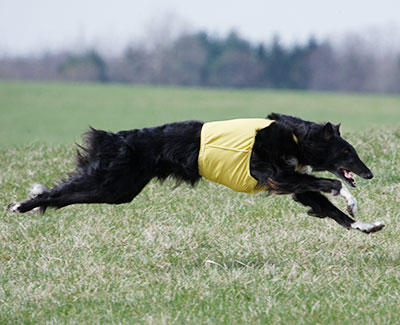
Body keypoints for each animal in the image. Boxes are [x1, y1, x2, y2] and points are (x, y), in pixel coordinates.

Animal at [7, 114, 384, 233]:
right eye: (347, 152)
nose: (369, 175)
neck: (294, 136)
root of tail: (118, 137)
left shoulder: (293, 184)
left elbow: (329, 207)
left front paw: (366, 225)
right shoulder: (276, 176)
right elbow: (331, 184)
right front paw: (352, 200)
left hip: (119, 189)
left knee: (64, 194)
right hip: (112, 184)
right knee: (59, 192)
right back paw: (21, 205)